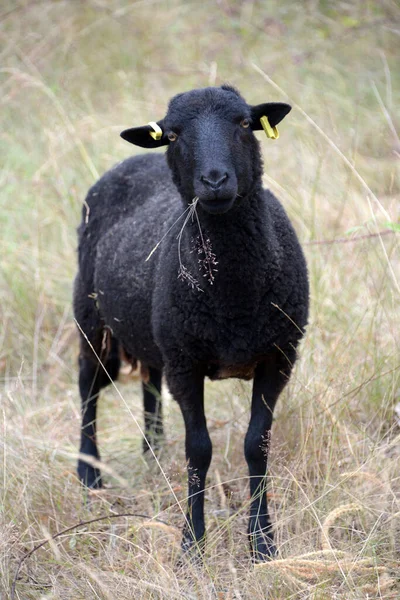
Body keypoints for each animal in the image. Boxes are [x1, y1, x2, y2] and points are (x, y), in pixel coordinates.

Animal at [72, 85, 310, 564]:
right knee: (88, 384)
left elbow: (256, 444)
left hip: (155, 331)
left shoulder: (277, 358)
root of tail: (133, 160)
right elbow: (198, 450)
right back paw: (89, 475)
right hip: (93, 316)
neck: (234, 296)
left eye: (244, 122)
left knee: (148, 381)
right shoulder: (186, 363)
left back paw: (153, 452)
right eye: (174, 134)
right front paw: (192, 546)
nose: (215, 181)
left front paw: (262, 543)